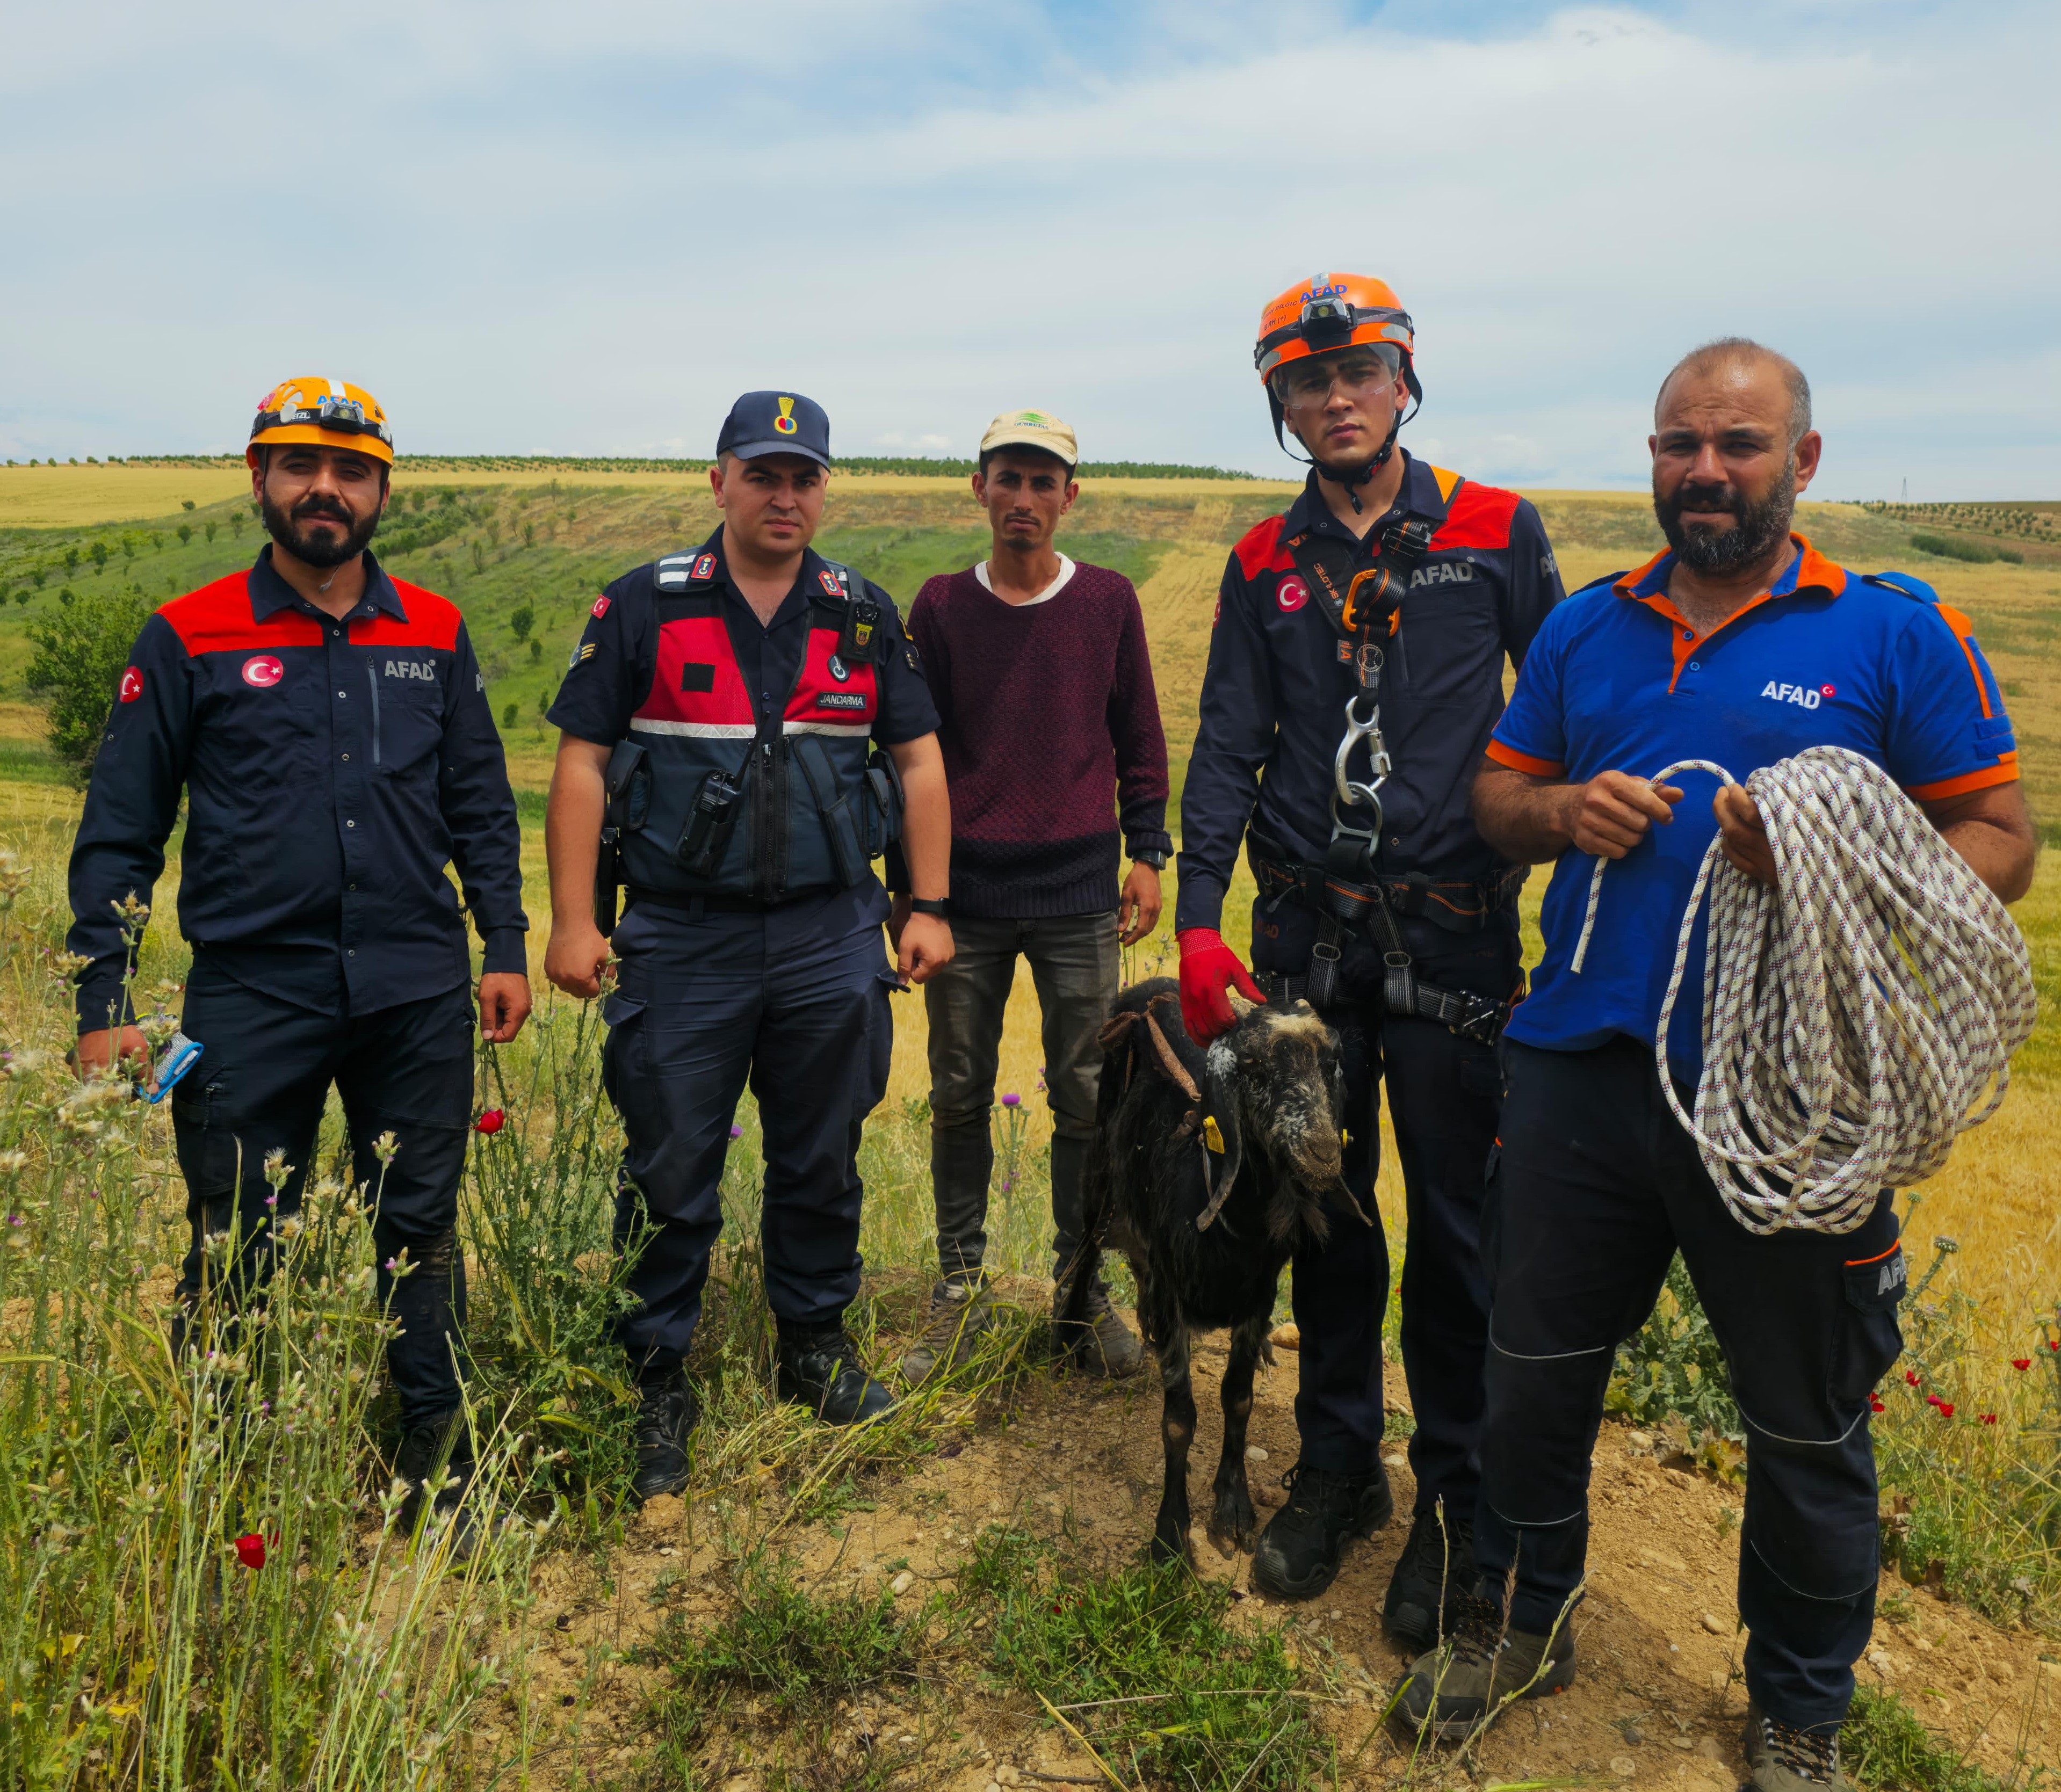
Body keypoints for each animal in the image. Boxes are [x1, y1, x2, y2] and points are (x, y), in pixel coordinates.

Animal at [1063, 976, 1368, 1565]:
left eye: (1331, 1064)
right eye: (1256, 1071)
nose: (1322, 1153)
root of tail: (1153, 988)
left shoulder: (1258, 1294)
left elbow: (1238, 1399)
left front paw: (1233, 1509)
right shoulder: (1173, 1290)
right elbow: (1180, 1419)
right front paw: (1170, 1534)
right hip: (1100, 1172)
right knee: (1085, 1246)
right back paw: (1065, 1337)